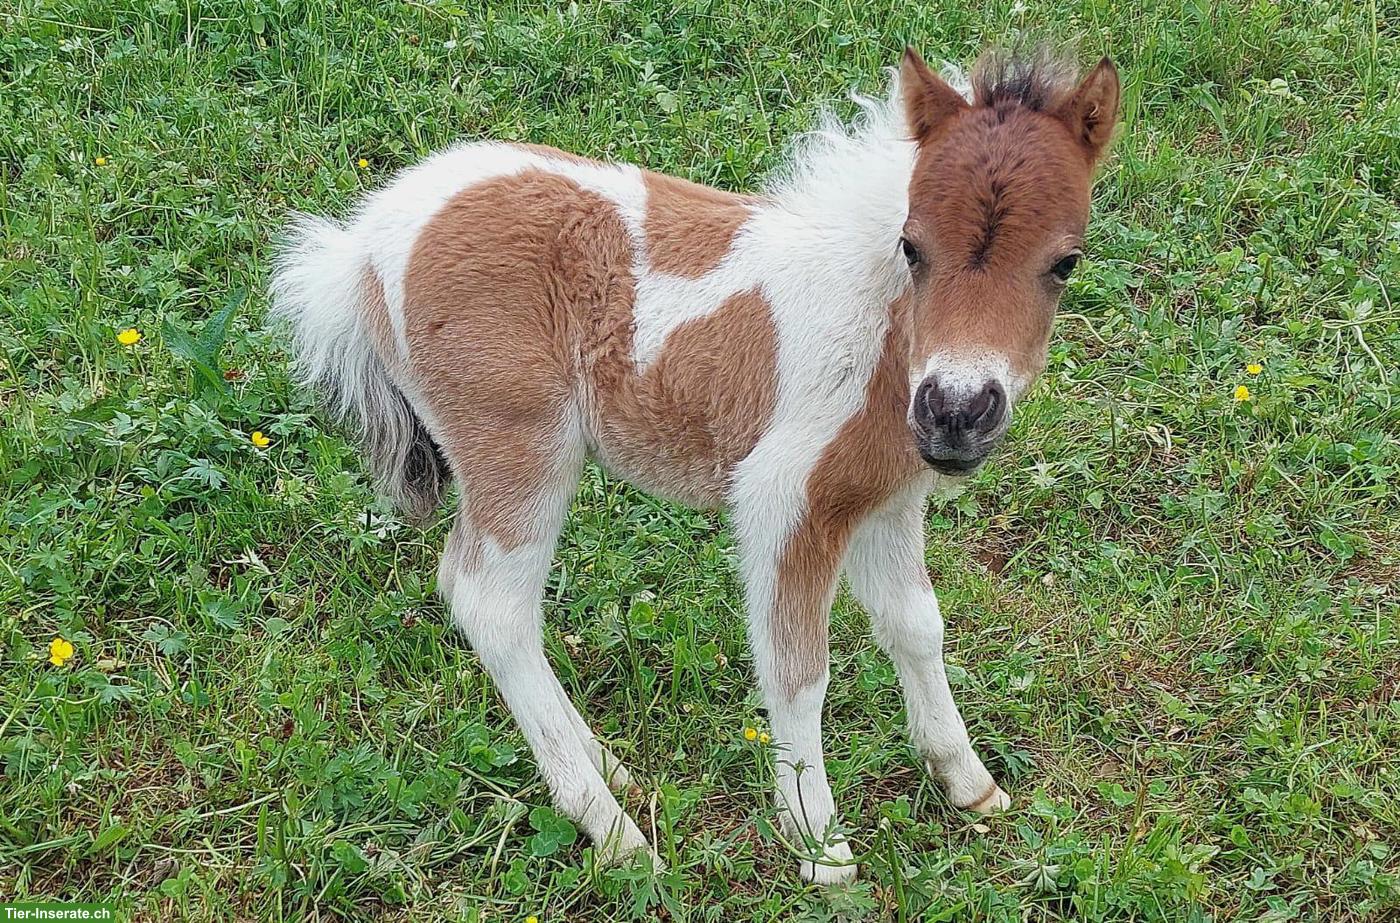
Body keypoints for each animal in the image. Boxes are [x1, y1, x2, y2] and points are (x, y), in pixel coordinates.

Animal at [271, 44, 1119, 884]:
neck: (879, 330)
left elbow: (916, 625)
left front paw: (969, 781)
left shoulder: (884, 495)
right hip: (519, 446)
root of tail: (363, 249)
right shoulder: (787, 500)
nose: (957, 410)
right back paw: (614, 833)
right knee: (492, 605)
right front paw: (820, 846)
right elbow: (798, 669)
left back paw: (610, 769)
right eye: (911, 245)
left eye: (1066, 262)